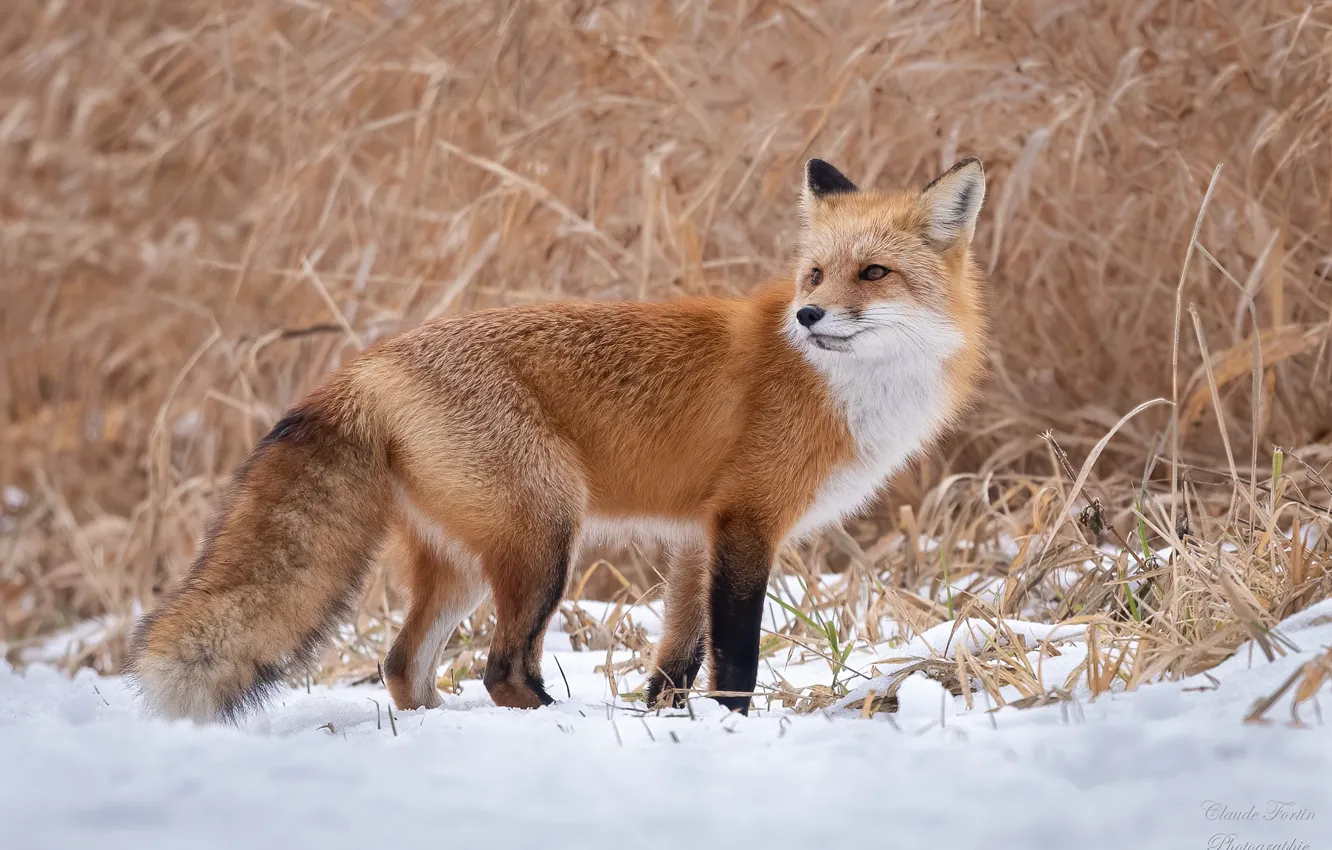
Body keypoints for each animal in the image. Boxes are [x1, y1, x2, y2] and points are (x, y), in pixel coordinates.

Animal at [127, 156, 989, 721]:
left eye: (872, 273)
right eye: (814, 276)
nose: (808, 317)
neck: (841, 385)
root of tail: (369, 364)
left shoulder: (696, 534)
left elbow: (677, 655)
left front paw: (668, 721)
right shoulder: (747, 521)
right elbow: (736, 652)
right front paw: (733, 727)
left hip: (471, 562)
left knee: (404, 663)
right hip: (547, 536)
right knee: (501, 668)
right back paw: (552, 721)